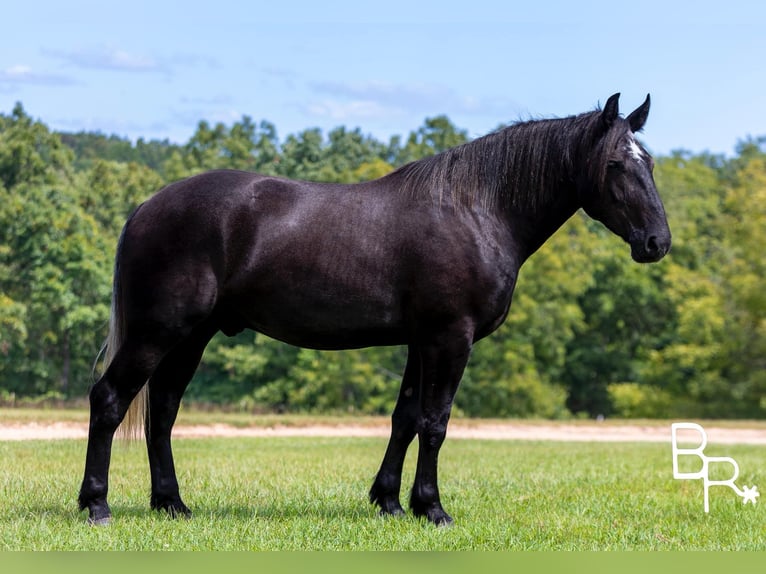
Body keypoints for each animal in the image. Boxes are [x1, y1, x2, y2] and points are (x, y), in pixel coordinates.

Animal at [78, 93, 671, 526]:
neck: (477, 209)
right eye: (615, 164)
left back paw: (172, 504)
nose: (657, 242)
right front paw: (432, 508)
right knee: (110, 400)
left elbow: (404, 418)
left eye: (650, 162)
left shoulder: (420, 341)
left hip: (191, 336)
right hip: (159, 331)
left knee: (162, 411)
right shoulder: (449, 338)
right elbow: (435, 421)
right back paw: (97, 505)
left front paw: (389, 501)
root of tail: (147, 207)